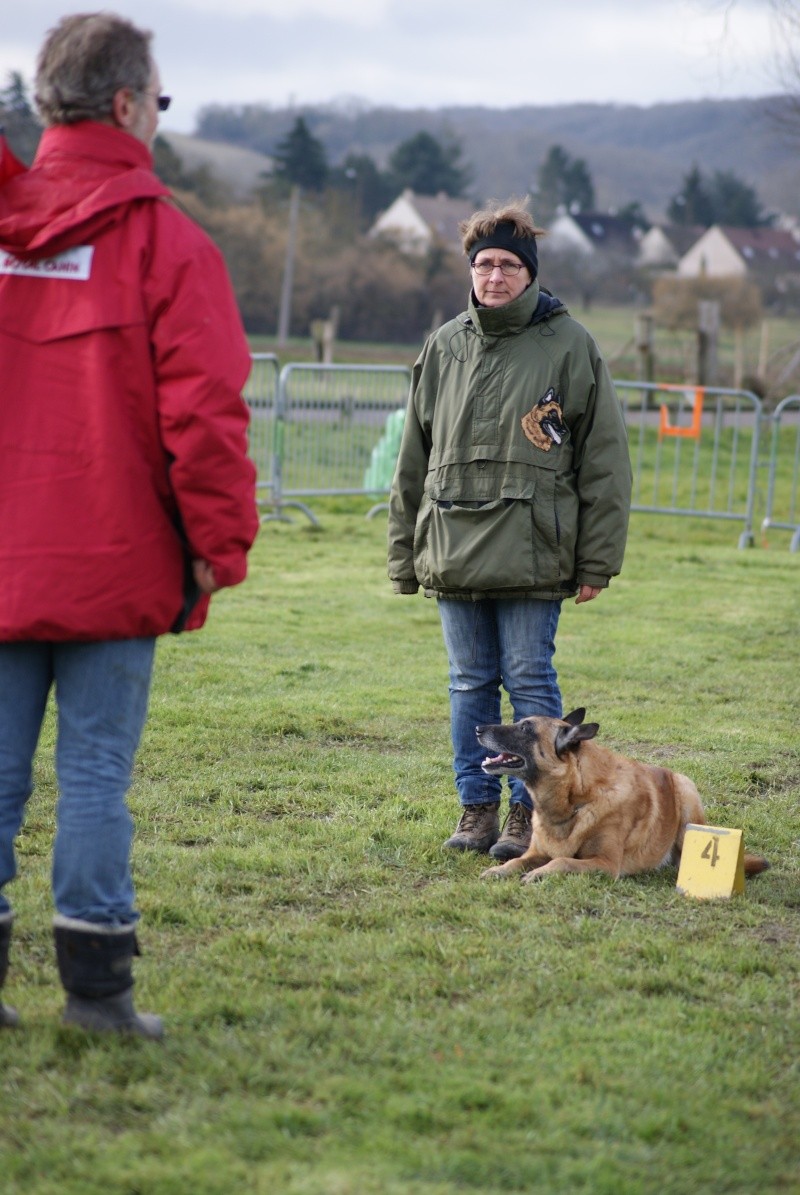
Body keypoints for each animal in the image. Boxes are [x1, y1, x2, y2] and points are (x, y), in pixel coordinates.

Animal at [473, 712, 765, 884]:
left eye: (525, 728)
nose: (476, 728)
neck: (575, 800)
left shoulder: (605, 864)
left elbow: (561, 860)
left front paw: (538, 873)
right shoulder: (536, 852)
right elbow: (516, 860)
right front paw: (499, 870)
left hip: (686, 795)